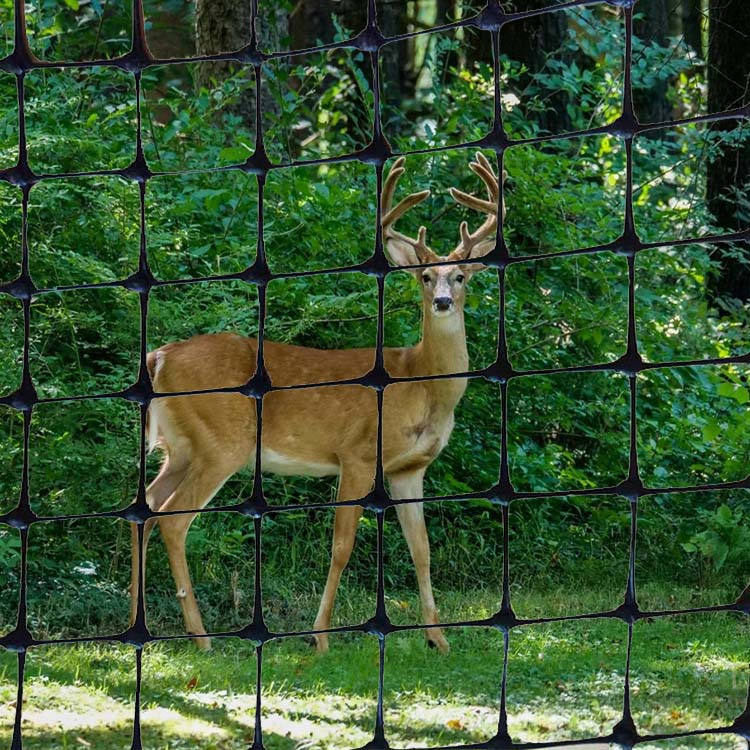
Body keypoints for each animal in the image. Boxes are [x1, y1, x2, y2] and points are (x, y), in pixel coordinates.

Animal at [130, 152, 504, 654]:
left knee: (147, 506)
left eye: (460, 276)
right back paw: (202, 639)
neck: (420, 385)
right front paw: (320, 638)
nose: (443, 301)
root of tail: (159, 357)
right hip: (222, 442)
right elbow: (342, 545)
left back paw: (136, 621)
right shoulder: (358, 453)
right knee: (172, 519)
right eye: (425, 277)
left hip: (182, 446)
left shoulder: (411, 468)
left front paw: (439, 641)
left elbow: (422, 550)